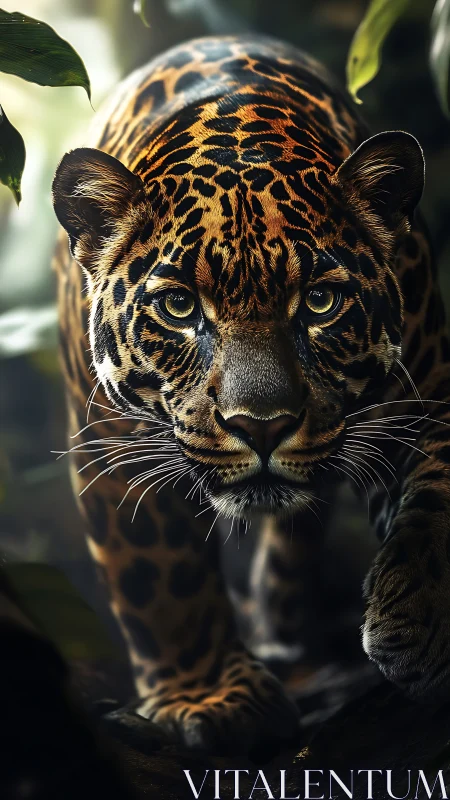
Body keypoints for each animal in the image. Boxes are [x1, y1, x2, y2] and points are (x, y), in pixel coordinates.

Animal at [52, 34, 450, 755]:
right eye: (179, 307)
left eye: (319, 303)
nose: (261, 425)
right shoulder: (111, 451)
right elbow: (163, 582)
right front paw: (211, 698)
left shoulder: (425, 384)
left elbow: (441, 485)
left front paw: (425, 621)